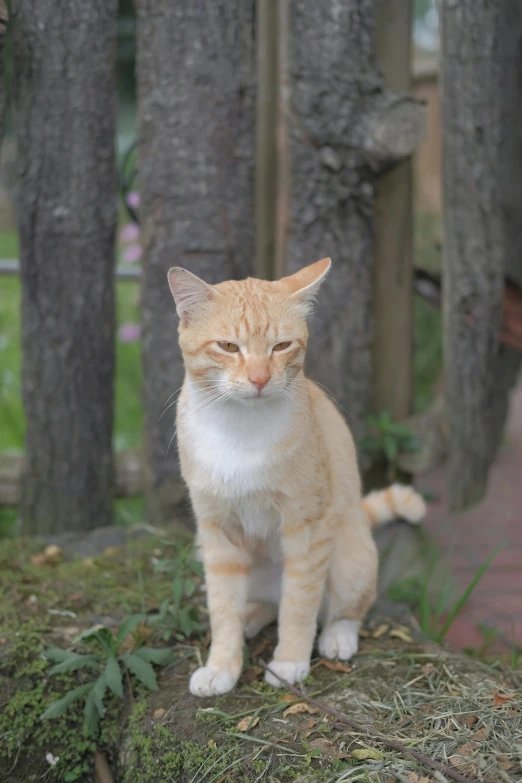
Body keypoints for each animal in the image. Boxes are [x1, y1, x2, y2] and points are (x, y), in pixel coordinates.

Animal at [169, 258, 424, 700]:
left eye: (281, 346)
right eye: (229, 347)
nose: (258, 378)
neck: (241, 428)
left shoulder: (307, 527)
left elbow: (300, 604)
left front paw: (289, 661)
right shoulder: (216, 532)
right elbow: (223, 607)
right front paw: (222, 665)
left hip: (350, 556)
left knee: (344, 609)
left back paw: (337, 637)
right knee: (264, 604)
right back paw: (251, 617)